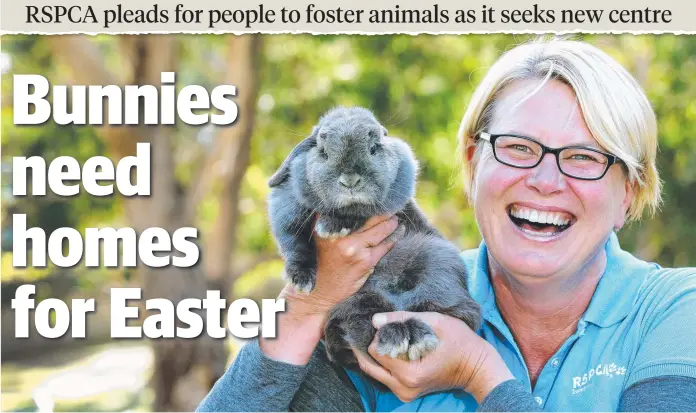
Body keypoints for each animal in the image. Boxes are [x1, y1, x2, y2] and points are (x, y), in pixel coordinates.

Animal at [270, 106, 482, 366]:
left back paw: (412, 337)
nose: (350, 181)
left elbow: (363, 210)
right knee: (362, 319)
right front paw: (301, 280)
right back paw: (402, 335)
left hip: (440, 263)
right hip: (357, 302)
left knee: (450, 310)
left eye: (373, 148)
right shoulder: (286, 207)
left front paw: (332, 225)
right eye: (323, 153)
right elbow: (294, 243)